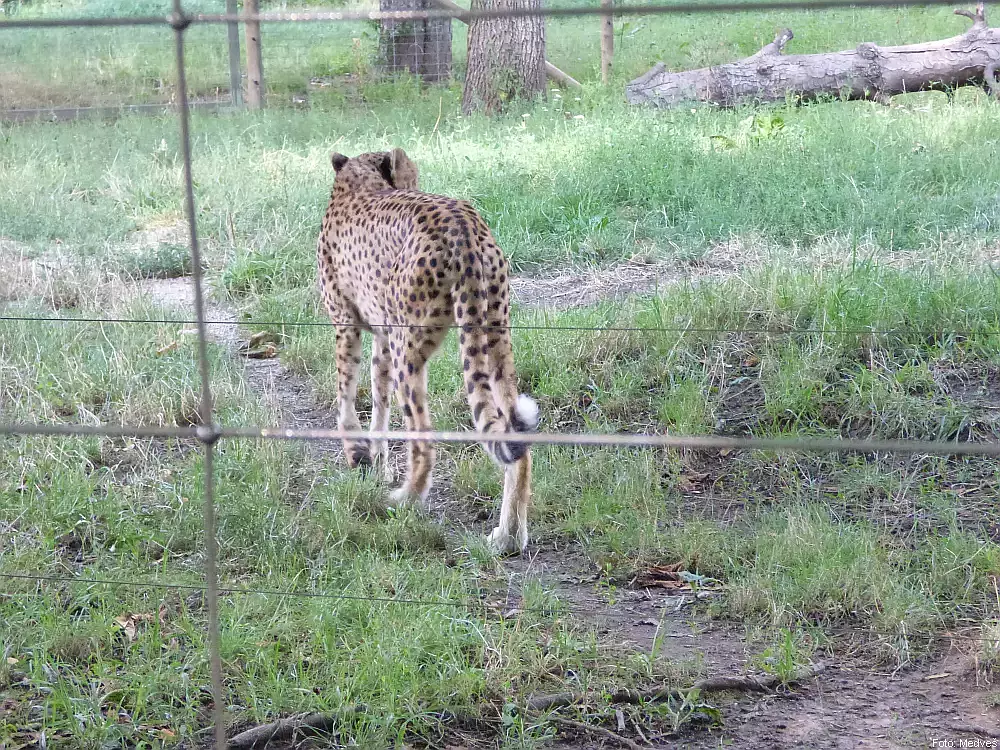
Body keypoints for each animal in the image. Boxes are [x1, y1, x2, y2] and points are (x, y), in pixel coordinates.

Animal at [318, 148, 540, 560]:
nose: (416, 182)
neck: (359, 181)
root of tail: (463, 226)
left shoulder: (347, 326)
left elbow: (346, 397)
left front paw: (357, 455)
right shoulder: (382, 340)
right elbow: (378, 404)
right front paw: (377, 466)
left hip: (411, 351)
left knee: (424, 439)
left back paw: (404, 502)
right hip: (495, 339)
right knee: (516, 441)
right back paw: (508, 536)